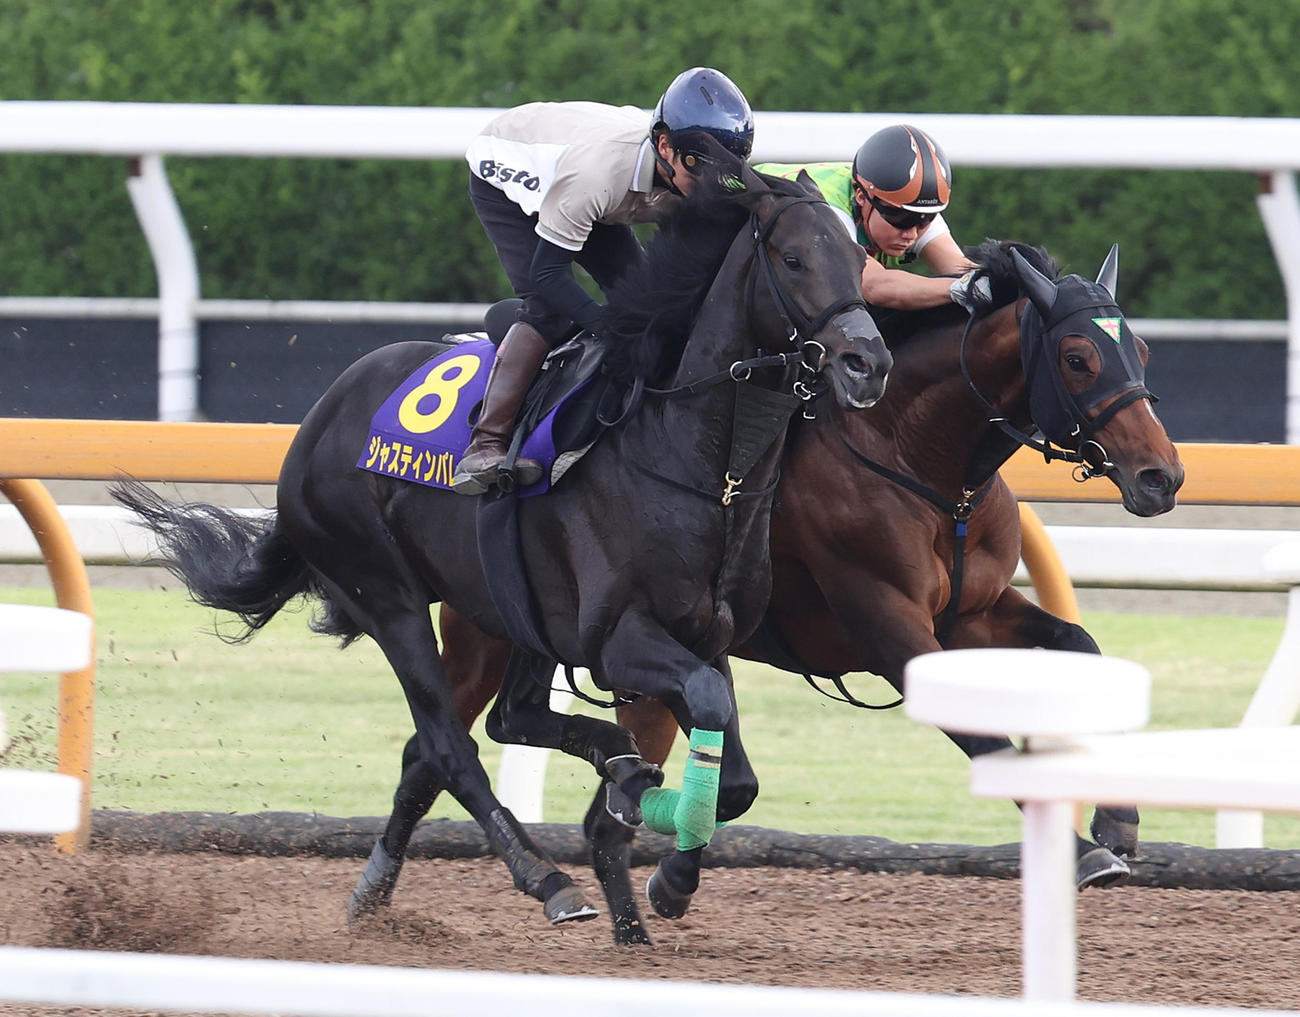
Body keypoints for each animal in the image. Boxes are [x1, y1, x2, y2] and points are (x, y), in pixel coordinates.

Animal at [111, 162, 893, 931]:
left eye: (859, 258)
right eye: (792, 258)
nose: (869, 361)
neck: (699, 461)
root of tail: (316, 422)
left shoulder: (707, 632)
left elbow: (736, 774)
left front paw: (665, 858)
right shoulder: (616, 638)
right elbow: (702, 706)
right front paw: (661, 862)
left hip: (515, 609)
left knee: (505, 718)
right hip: (384, 593)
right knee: (449, 744)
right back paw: (547, 877)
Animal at [366, 238, 1183, 945]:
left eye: (1141, 351)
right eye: (1078, 357)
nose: (1162, 476)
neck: (914, 456)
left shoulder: (972, 615)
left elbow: (1081, 643)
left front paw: (1117, 818)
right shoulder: (887, 626)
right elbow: (982, 738)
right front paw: (1085, 851)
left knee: (558, 793)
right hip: (491, 629)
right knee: (435, 749)